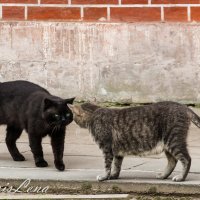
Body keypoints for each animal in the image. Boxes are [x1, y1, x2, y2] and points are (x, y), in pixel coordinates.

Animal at [68, 102, 200, 182]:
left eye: (73, 116)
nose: (71, 119)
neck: (94, 113)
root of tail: (183, 106)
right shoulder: (117, 152)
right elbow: (116, 165)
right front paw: (113, 176)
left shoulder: (106, 148)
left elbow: (107, 165)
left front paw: (105, 176)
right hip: (167, 144)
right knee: (172, 161)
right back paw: (163, 175)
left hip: (173, 140)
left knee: (186, 159)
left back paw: (181, 177)